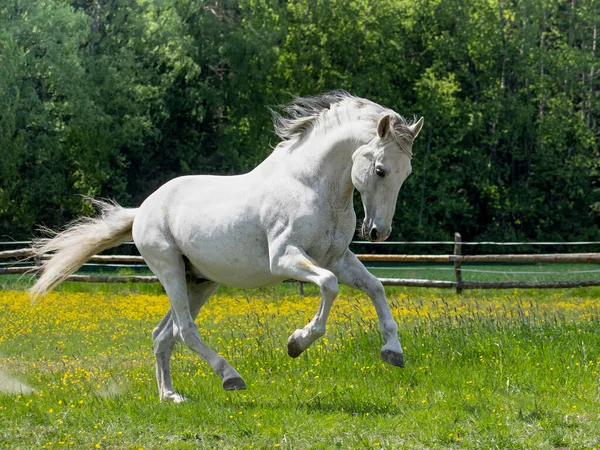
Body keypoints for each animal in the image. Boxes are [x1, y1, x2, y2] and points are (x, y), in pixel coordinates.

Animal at [30, 90, 424, 400]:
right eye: (380, 170)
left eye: (406, 174)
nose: (378, 232)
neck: (311, 186)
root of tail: (144, 208)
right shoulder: (286, 260)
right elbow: (328, 286)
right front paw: (296, 343)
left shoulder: (338, 258)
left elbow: (375, 287)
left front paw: (393, 352)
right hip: (170, 270)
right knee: (185, 331)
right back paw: (230, 376)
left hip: (199, 281)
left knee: (163, 335)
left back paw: (170, 396)